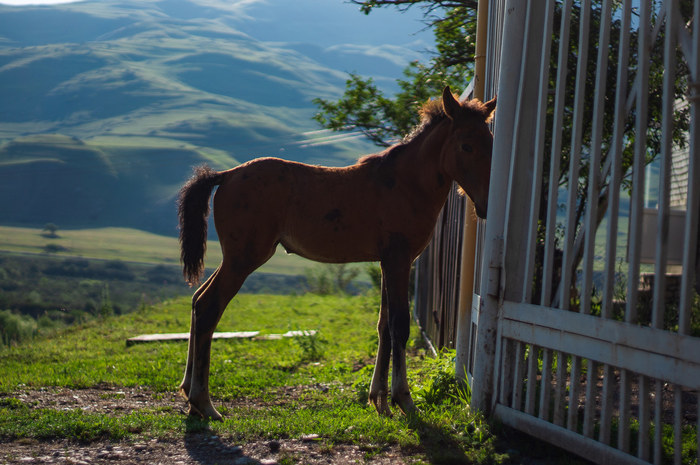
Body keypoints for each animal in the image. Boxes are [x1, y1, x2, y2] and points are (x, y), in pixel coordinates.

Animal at [180, 85, 498, 418]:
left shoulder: (388, 262)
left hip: (236, 259)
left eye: (491, 142)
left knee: (197, 299)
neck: (404, 184)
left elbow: (383, 325)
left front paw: (378, 399)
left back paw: (189, 391)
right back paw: (204, 403)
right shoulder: (398, 260)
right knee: (208, 308)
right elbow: (399, 325)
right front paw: (404, 400)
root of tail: (226, 175)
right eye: (466, 146)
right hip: (243, 259)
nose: (487, 204)